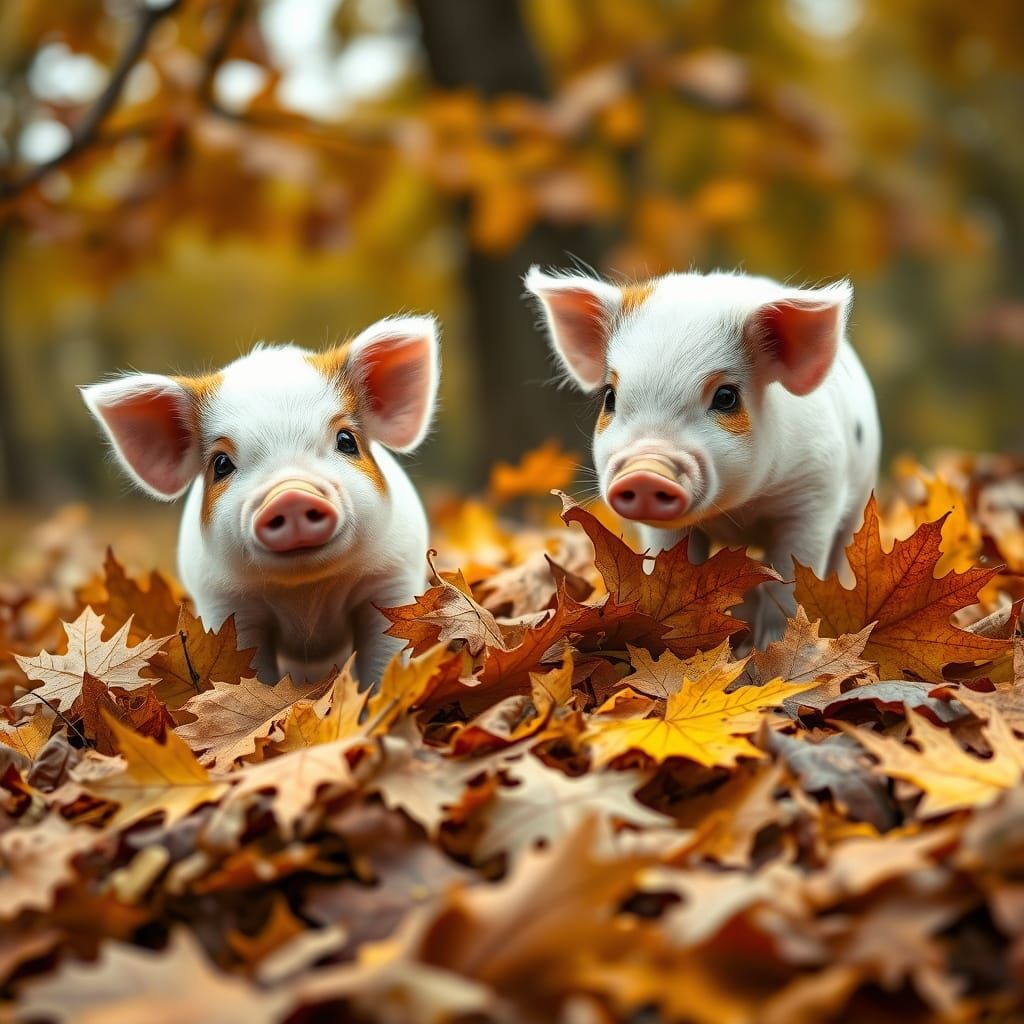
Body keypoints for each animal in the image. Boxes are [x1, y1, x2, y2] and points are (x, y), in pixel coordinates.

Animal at [82, 316, 440, 685]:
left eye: (346, 440)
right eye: (221, 464)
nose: (290, 494)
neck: (305, 593)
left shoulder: (391, 581)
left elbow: (384, 658)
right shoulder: (227, 606)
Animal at [525, 267, 880, 648]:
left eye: (726, 397)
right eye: (610, 397)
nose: (645, 471)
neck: (738, 512)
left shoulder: (813, 497)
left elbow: (788, 586)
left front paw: (766, 651)